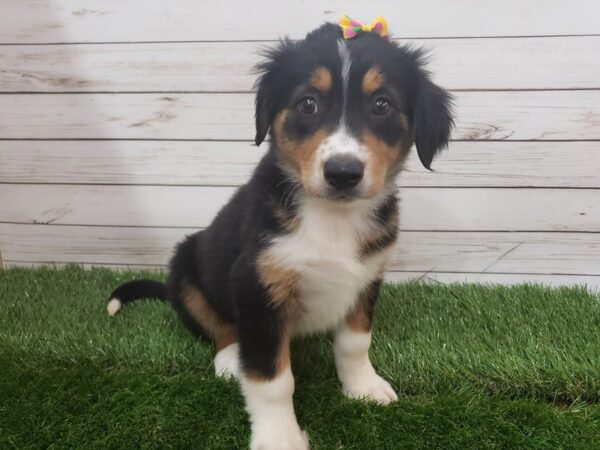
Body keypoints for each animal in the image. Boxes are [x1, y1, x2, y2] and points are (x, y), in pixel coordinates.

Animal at [106, 22, 450, 450]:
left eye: (383, 105)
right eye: (308, 104)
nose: (342, 173)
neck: (331, 217)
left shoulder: (367, 277)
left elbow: (355, 343)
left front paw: (363, 387)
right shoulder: (257, 289)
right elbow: (272, 380)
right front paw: (279, 437)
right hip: (185, 267)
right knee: (216, 327)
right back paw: (228, 360)